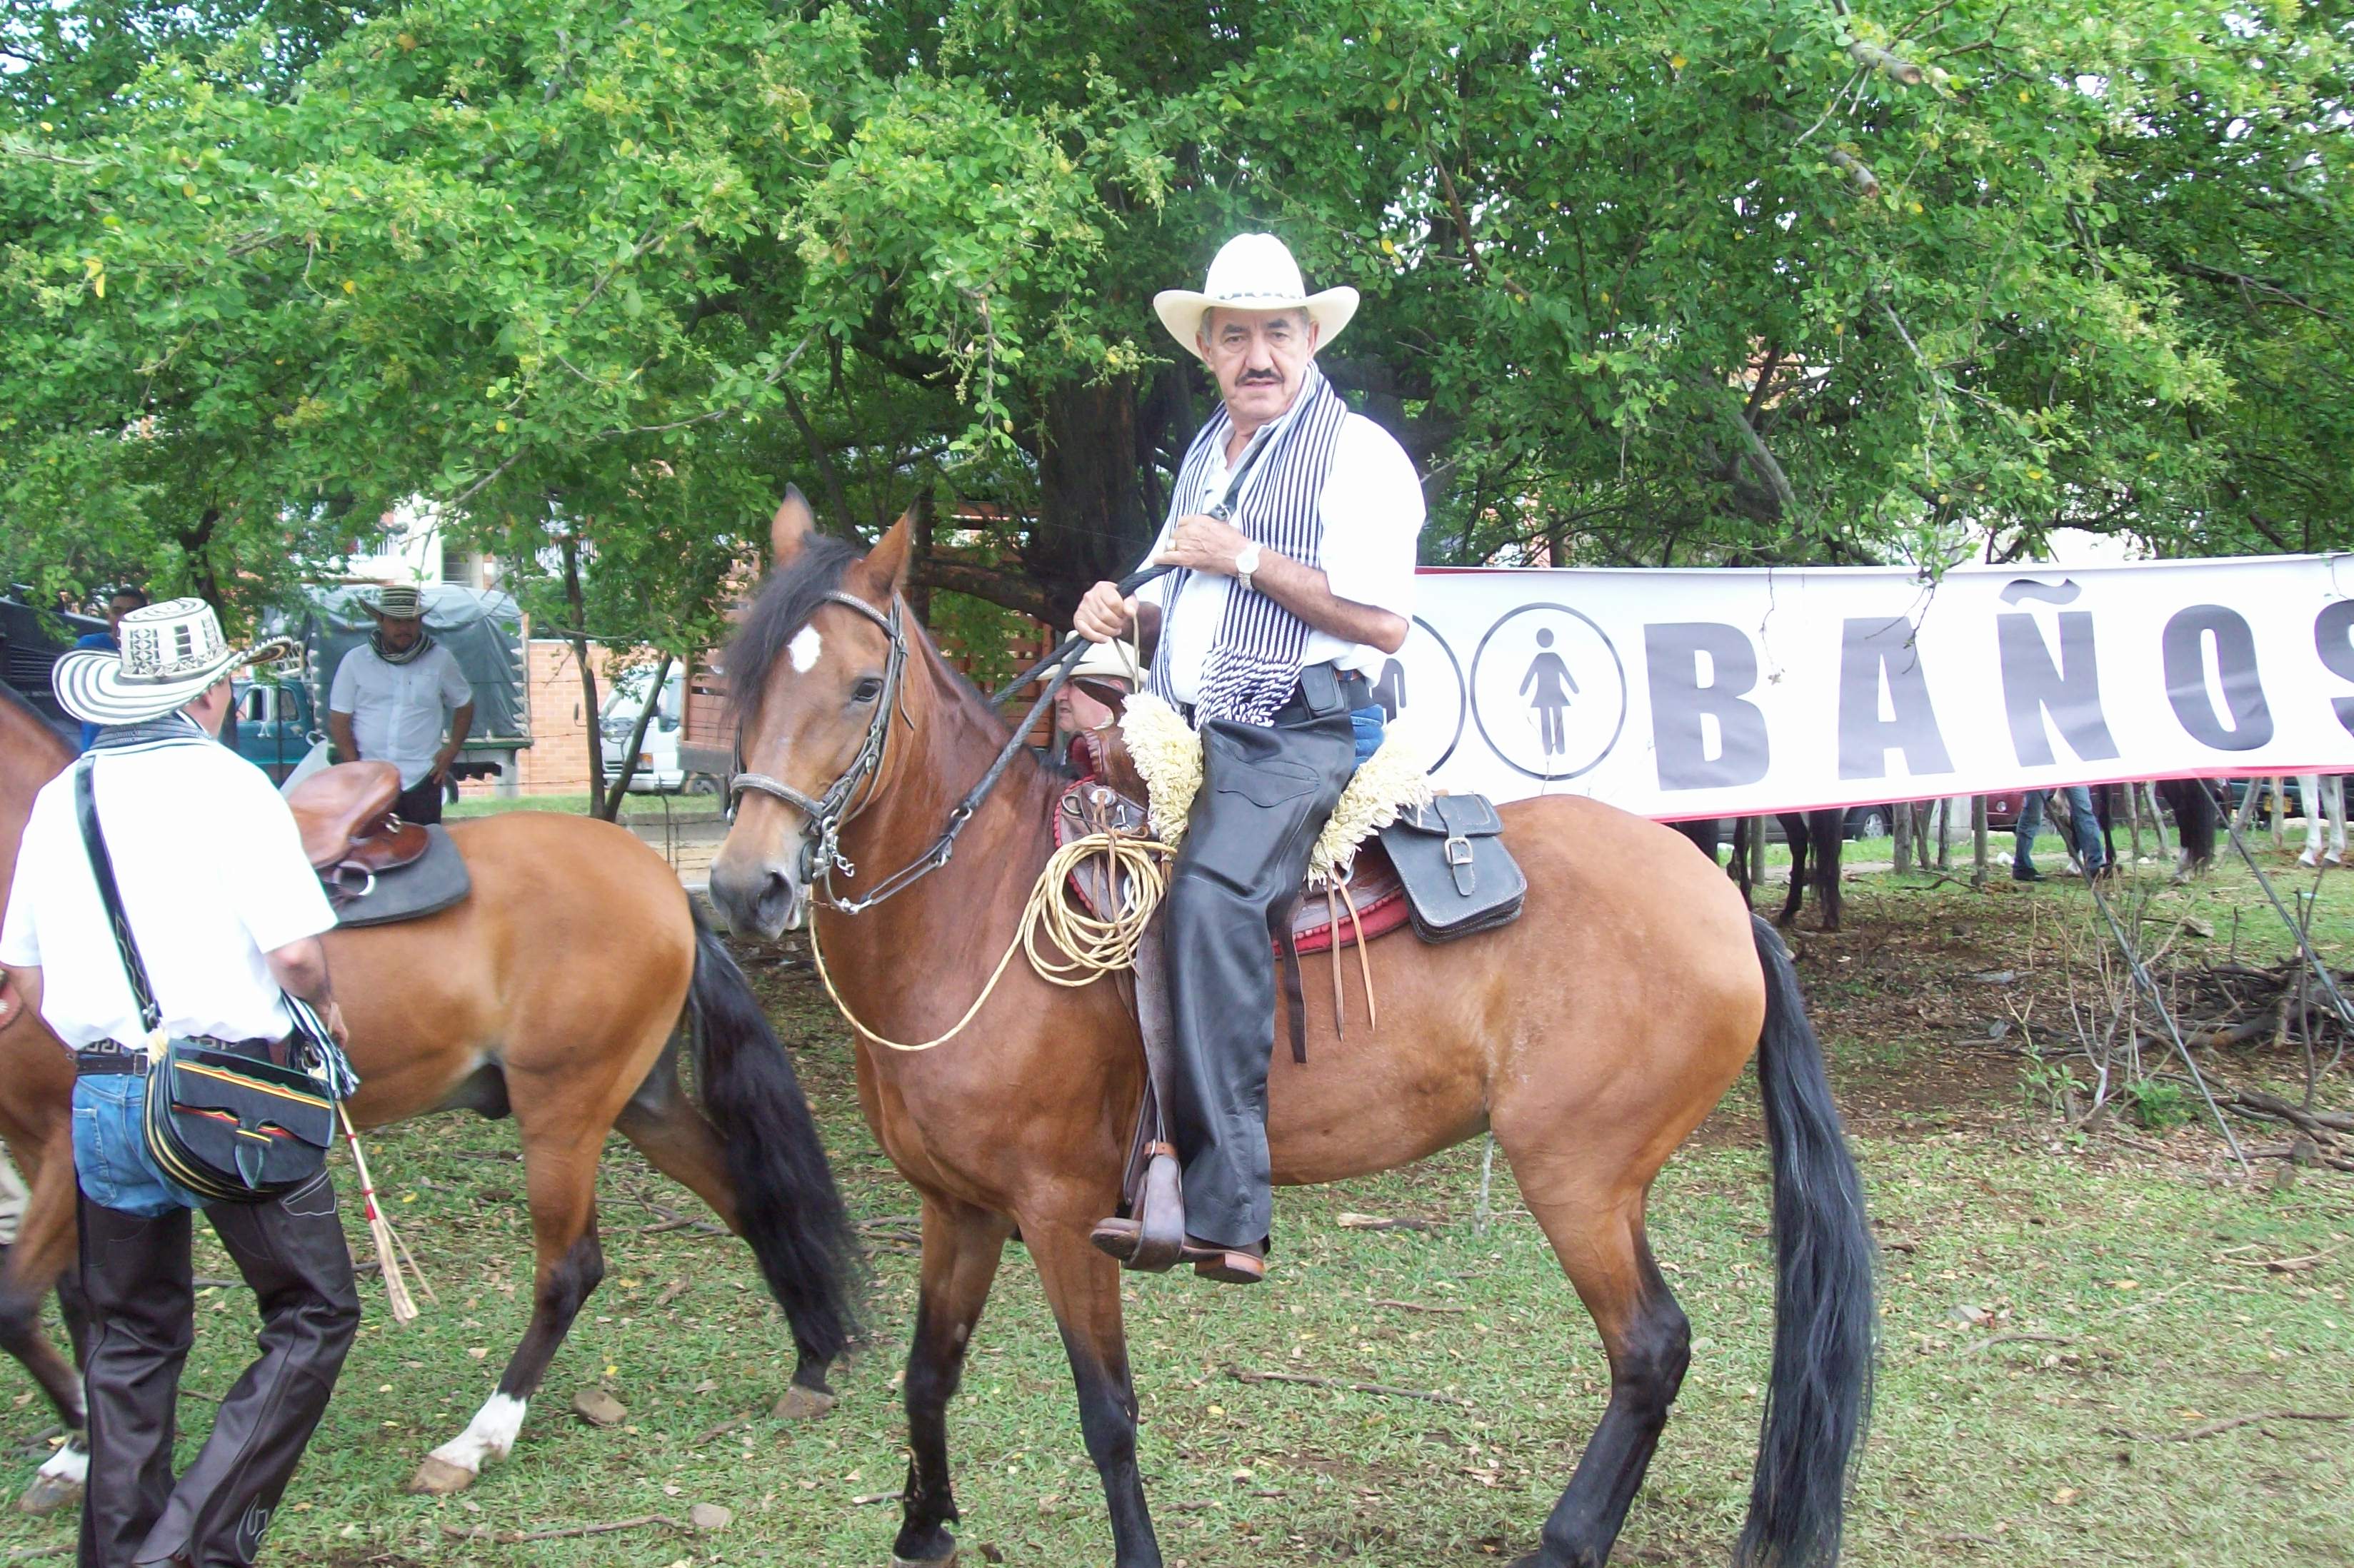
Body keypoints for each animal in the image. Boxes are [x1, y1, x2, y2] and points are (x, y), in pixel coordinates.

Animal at [0, 682, 859, 1509]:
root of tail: (659, 885)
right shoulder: (49, 1149)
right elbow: (74, 1300)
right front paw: (82, 1445)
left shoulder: (65, 1145)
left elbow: (18, 1302)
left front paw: (83, 1438)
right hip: (640, 1103)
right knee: (749, 1199)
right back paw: (810, 1362)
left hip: (564, 1110)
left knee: (570, 1269)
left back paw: (478, 1439)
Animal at [704, 498, 1876, 1568]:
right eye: (741, 678)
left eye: (863, 687)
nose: (746, 887)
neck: (977, 909)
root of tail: (1722, 903)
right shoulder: (957, 1208)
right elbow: (928, 1372)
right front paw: (923, 1529)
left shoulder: (1059, 1212)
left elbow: (1107, 1412)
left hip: (1578, 1175)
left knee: (1649, 1348)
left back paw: (1563, 1542)